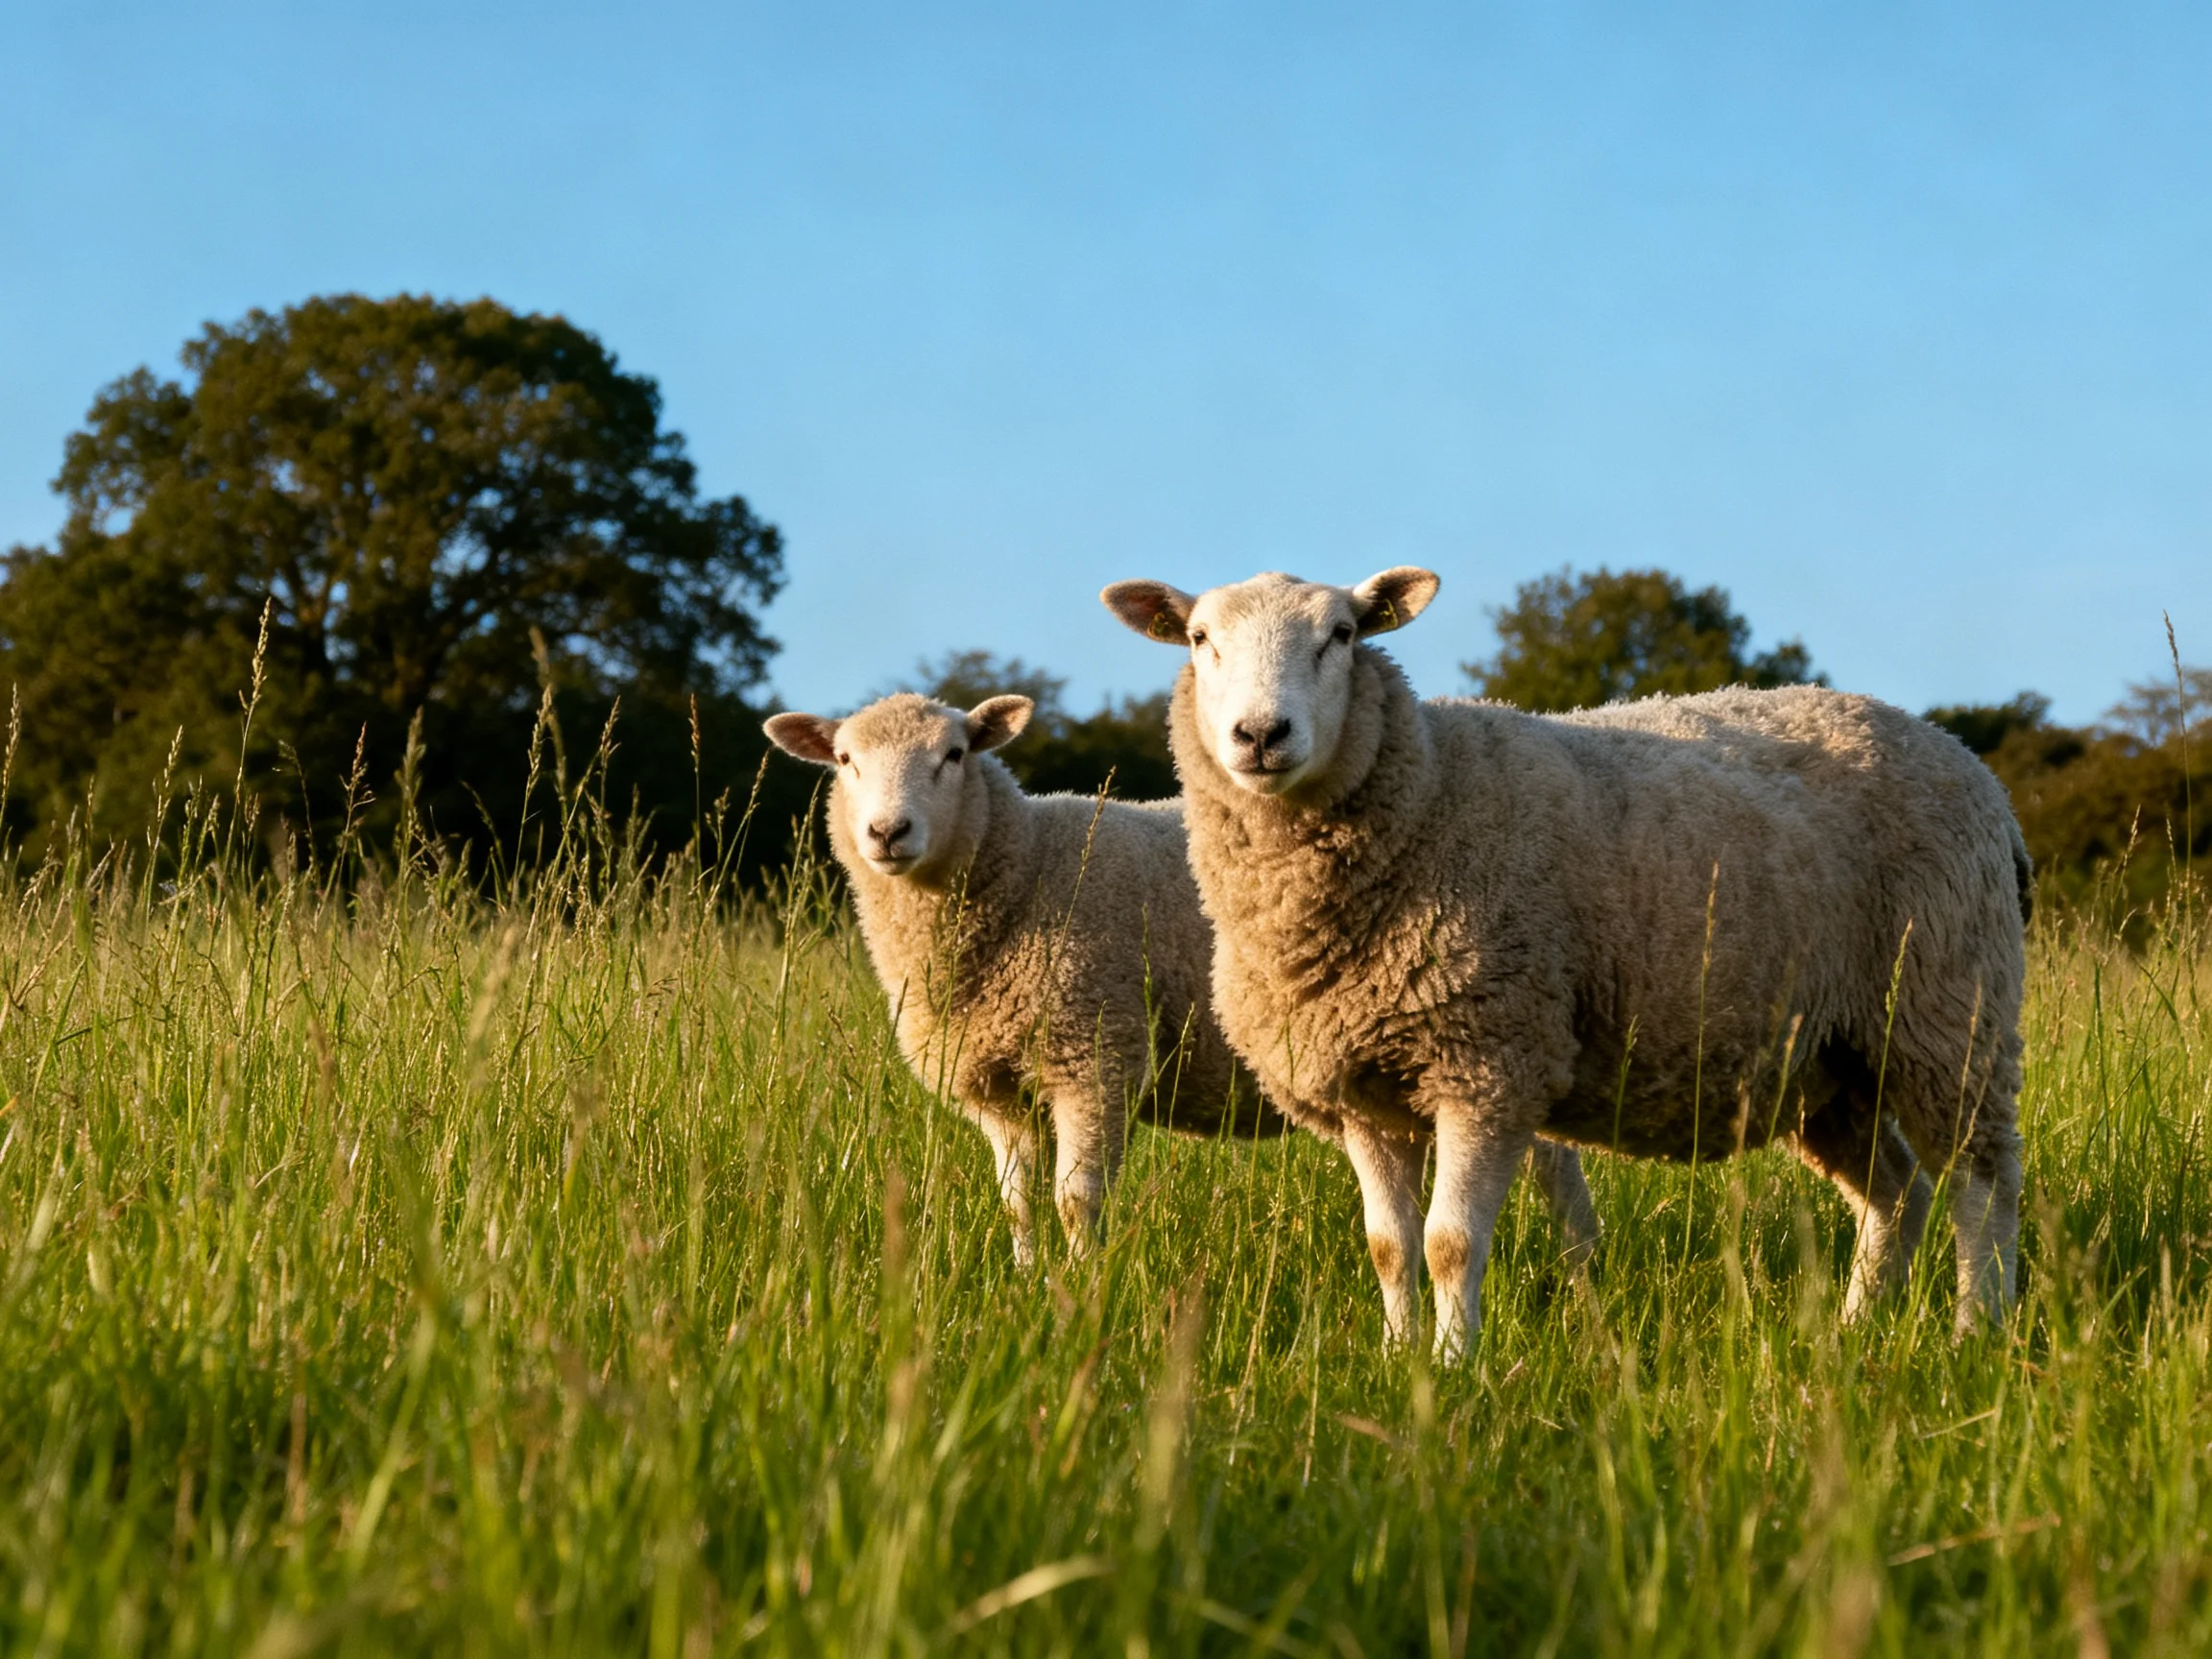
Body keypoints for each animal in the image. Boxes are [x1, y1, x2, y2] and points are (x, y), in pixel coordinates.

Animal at [764, 690, 1301, 1265]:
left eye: (954, 755)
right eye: (845, 760)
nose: (888, 832)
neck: (1031, 865)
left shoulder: (1096, 1059)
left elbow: (1076, 1202)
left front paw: (1084, 1283)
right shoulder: (1000, 1091)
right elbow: (1018, 1204)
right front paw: (1027, 1278)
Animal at [1102, 568, 2030, 1357]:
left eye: (1342, 634)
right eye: (1199, 638)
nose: (1261, 734)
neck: (1428, 792)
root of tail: (1965, 758)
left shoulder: (1488, 1061)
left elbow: (1448, 1243)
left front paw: (1454, 1367)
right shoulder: (1362, 1087)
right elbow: (1388, 1247)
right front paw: (1398, 1360)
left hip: (1949, 1005)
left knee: (1981, 1182)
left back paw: (1975, 1331)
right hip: (1830, 1061)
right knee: (1897, 1191)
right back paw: (1853, 1329)